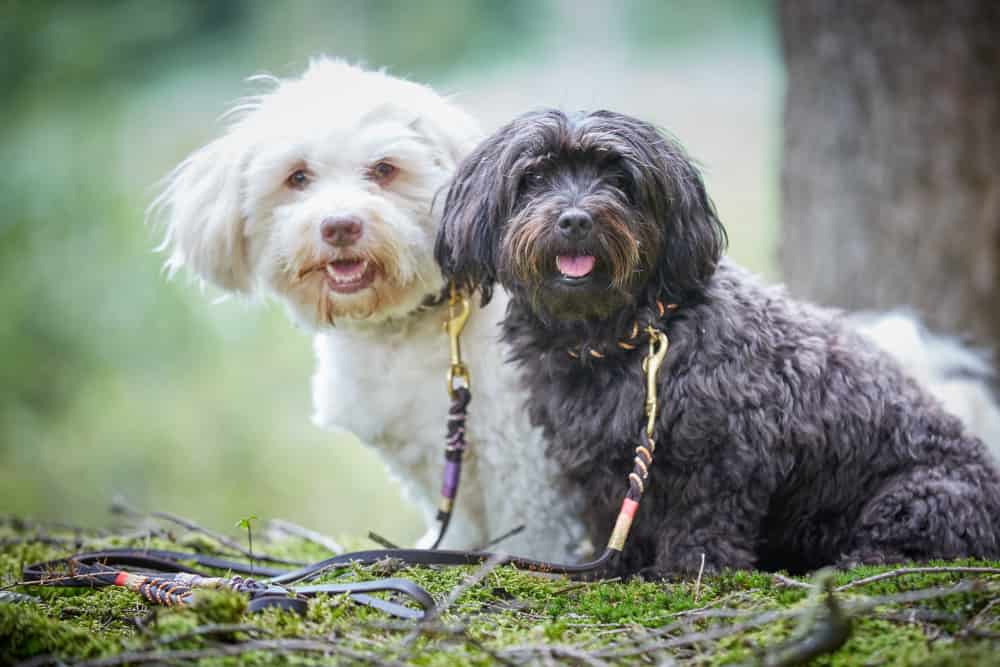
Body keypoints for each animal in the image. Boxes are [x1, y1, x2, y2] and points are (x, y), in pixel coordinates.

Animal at [150, 58, 584, 560]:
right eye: (297, 177)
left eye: (384, 169)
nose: (340, 226)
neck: (402, 325)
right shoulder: (426, 448)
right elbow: (449, 507)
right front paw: (447, 545)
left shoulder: (521, 453)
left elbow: (532, 526)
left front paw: (533, 560)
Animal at [438, 111, 1000, 580]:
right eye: (533, 177)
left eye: (619, 178)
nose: (576, 219)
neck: (629, 338)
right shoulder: (603, 470)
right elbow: (614, 522)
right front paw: (612, 566)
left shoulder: (723, 455)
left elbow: (702, 521)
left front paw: (688, 572)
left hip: (922, 496)